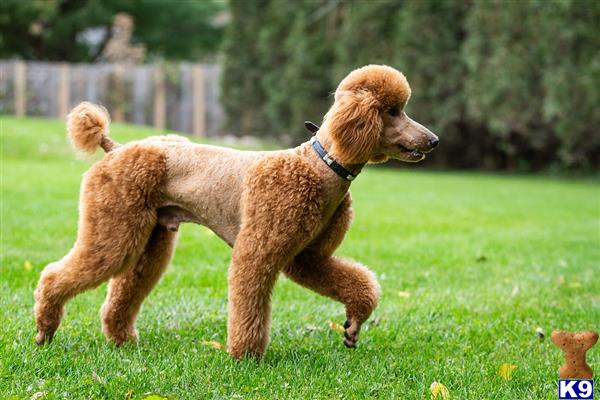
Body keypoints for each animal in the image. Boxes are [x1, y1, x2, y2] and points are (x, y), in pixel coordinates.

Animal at [34, 64, 436, 358]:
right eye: (392, 111)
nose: (433, 140)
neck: (320, 166)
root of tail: (115, 147)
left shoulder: (306, 257)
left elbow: (354, 282)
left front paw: (354, 323)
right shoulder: (258, 250)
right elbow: (250, 301)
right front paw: (246, 356)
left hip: (150, 238)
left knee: (124, 289)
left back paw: (121, 341)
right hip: (114, 227)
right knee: (56, 275)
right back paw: (45, 330)